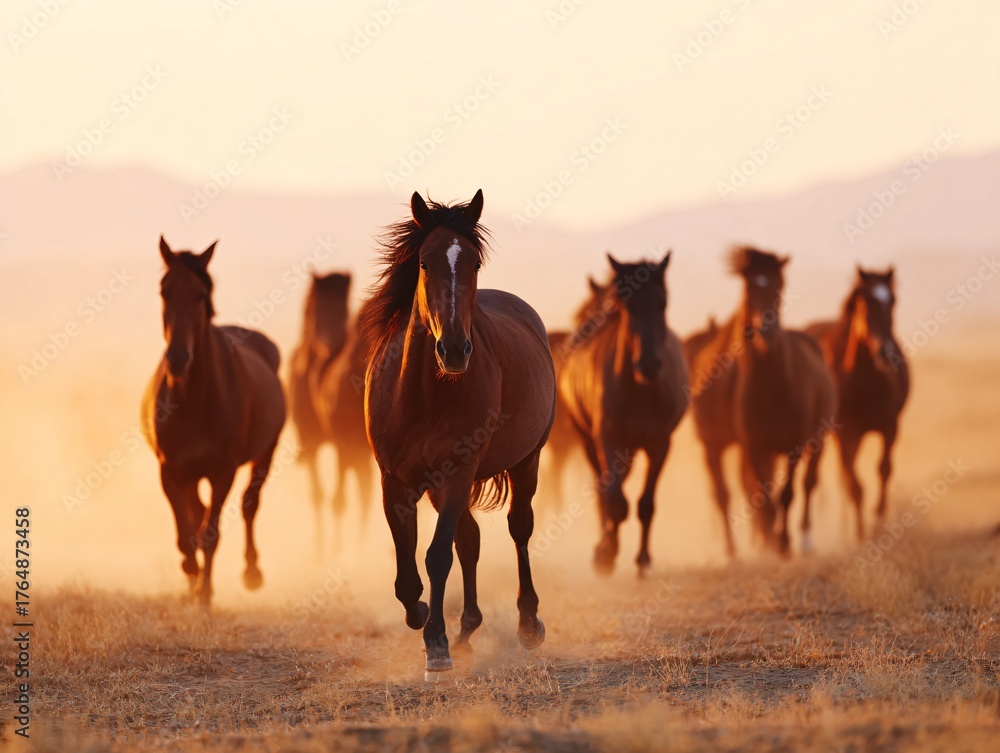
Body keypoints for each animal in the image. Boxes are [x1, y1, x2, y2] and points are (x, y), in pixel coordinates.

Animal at [142, 237, 286, 603]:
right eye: (164, 291)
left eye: (200, 295)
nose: (178, 359)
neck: (194, 400)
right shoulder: (170, 469)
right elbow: (187, 532)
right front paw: (191, 575)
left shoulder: (223, 471)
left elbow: (210, 532)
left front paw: (205, 593)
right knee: (198, 510)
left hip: (266, 452)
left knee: (249, 504)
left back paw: (251, 572)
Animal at [362, 190, 555, 678]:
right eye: (424, 263)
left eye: (474, 263)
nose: (453, 350)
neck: (423, 396)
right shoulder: (396, 480)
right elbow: (408, 566)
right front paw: (420, 614)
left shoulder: (457, 472)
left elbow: (436, 555)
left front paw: (436, 645)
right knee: (471, 539)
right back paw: (468, 629)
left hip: (526, 462)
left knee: (518, 528)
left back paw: (528, 624)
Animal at [558, 254, 688, 576]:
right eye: (628, 305)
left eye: (663, 302)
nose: (649, 364)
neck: (638, 390)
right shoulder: (607, 440)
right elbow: (615, 502)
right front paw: (606, 555)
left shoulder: (659, 445)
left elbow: (645, 505)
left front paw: (643, 559)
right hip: (588, 442)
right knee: (602, 492)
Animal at [725, 246, 836, 555]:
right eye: (749, 287)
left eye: (779, 286)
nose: (766, 330)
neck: (773, 389)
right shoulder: (755, 448)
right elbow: (764, 495)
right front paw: (771, 543)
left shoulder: (794, 445)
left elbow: (787, 493)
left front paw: (784, 542)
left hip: (818, 440)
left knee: (809, 484)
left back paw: (805, 540)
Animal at [804, 266, 909, 539]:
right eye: (865, 302)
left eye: (893, 301)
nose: (885, 352)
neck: (867, 385)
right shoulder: (846, 434)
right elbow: (856, 486)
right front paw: (861, 534)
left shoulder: (890, 427)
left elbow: (884, 469)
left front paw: (879, 519)